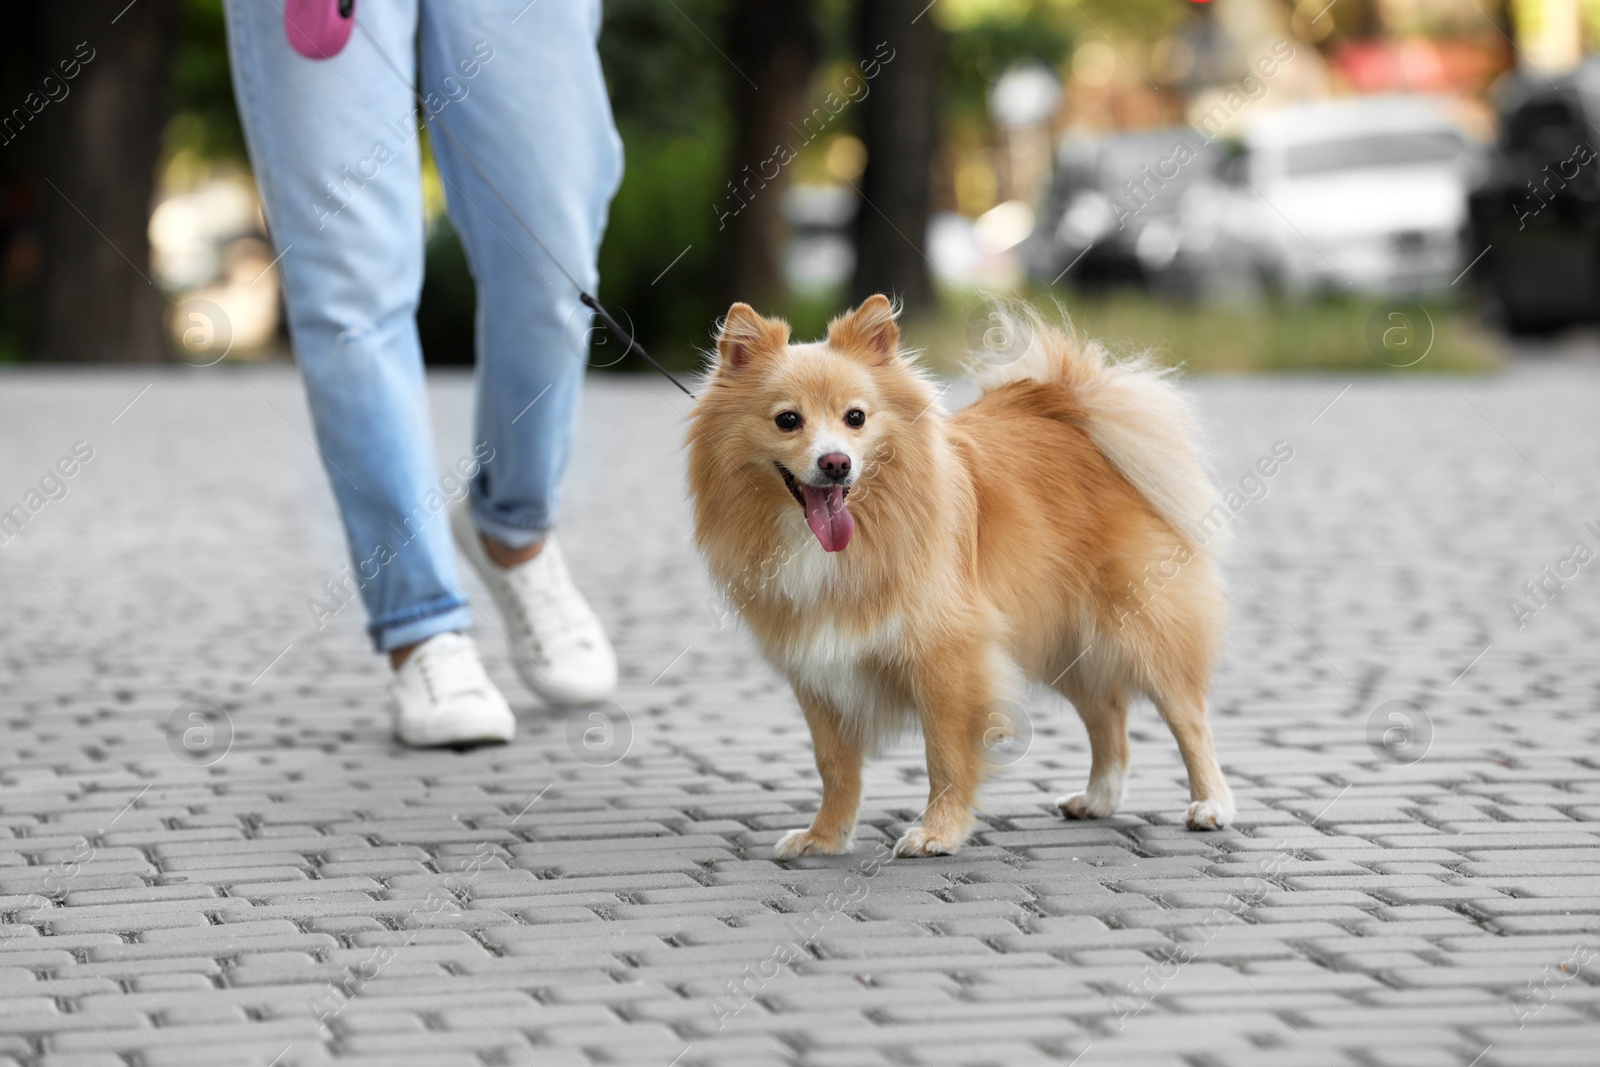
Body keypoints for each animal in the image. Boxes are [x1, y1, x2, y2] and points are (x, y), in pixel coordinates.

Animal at [688, 294, 1235, 857]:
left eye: (855, 417)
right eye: (787, 420)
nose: (836, 462)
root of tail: (1072, 410)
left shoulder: (948, 658)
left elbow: (945, 757)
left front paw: (938, 831)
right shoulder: (818, 671)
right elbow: (835, 766)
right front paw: (825, 836)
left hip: (1143, 633)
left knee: (1188, 720)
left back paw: (1211, 805)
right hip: (1066, 643)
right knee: (1108, 717)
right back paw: (1098, 798)